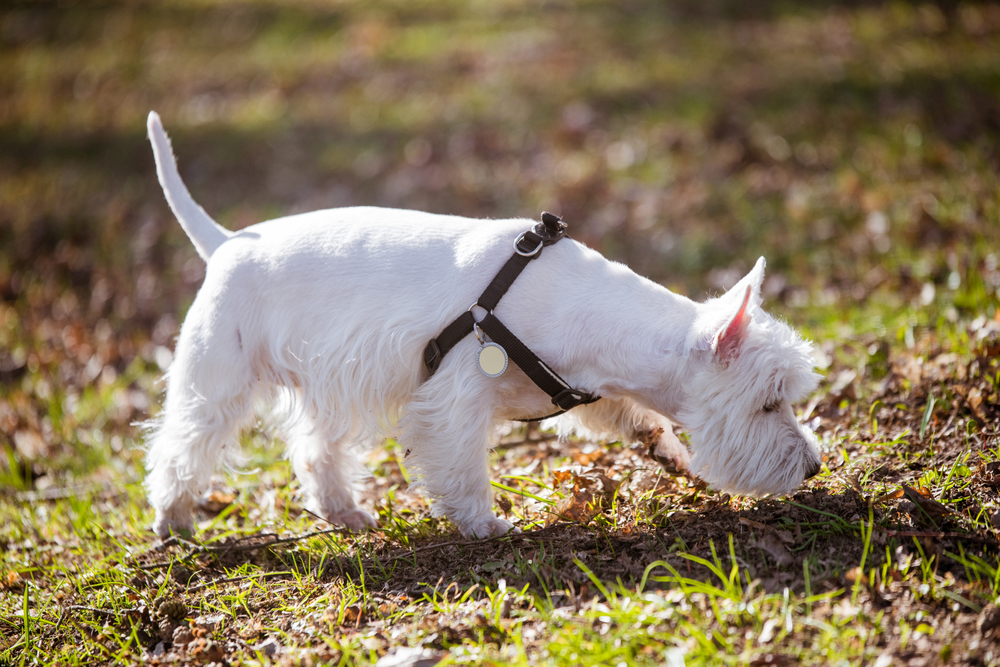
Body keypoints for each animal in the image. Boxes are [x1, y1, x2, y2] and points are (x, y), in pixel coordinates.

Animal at [145, 109, 824, 536]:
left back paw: (344, 512)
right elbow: (465, 467)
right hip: (217, 380)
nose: (815, 467)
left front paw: (671, 454)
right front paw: (484, 524)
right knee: (181, 448)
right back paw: (172, 521)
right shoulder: (455, 400)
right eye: (768, 404)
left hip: (329, 386)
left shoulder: (595, 390)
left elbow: (639, 419)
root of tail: (226, 243)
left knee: (316, 452)